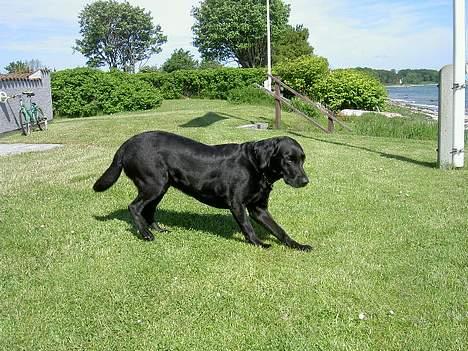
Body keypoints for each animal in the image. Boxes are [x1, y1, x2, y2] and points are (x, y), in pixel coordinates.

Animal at [92, 131, 310, 250]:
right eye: (289, 159)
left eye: (302, 159)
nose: (305, 181)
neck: (256, 165)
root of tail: (127, 143)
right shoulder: (237, 204)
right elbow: (247, 227)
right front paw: (258, 243)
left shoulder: (259, 209)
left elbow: (279, 230)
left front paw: (298, 245)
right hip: (154, 184)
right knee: (134, 207)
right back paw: (146, 234)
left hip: (160, 187)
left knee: (148, 210)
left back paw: (158, 229)